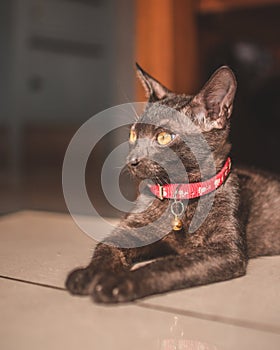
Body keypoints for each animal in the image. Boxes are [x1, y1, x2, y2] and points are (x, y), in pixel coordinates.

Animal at [65, 64, 280, 302]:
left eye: (164, 137)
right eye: (133, 134)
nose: (132, 160)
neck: (179, 196)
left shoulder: (225, 249)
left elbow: (166, 265)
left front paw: (117, 282)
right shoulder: (131, 230)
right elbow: (105, 248)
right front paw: (89, 273)